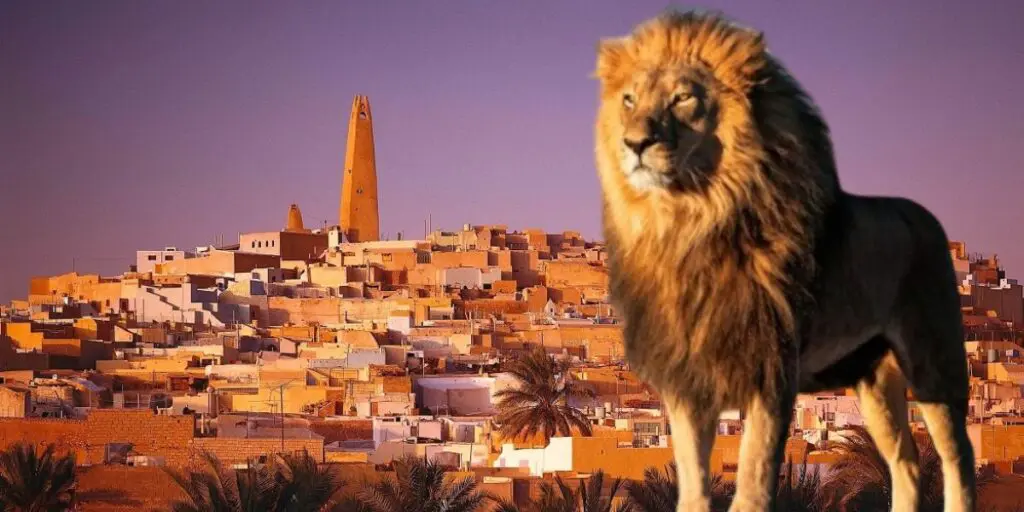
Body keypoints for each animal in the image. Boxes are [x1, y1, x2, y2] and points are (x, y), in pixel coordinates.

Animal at [593, 10, 975, 512]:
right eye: (629, 100)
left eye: (682, 98)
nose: (635, 142)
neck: (690, 223)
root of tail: (926, 216)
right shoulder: (686, 378)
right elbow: (693, 484)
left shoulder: (770, 369)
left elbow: (752, 478)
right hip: (873, 380)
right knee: (907, 462)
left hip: (934, 363)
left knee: (958, 457)